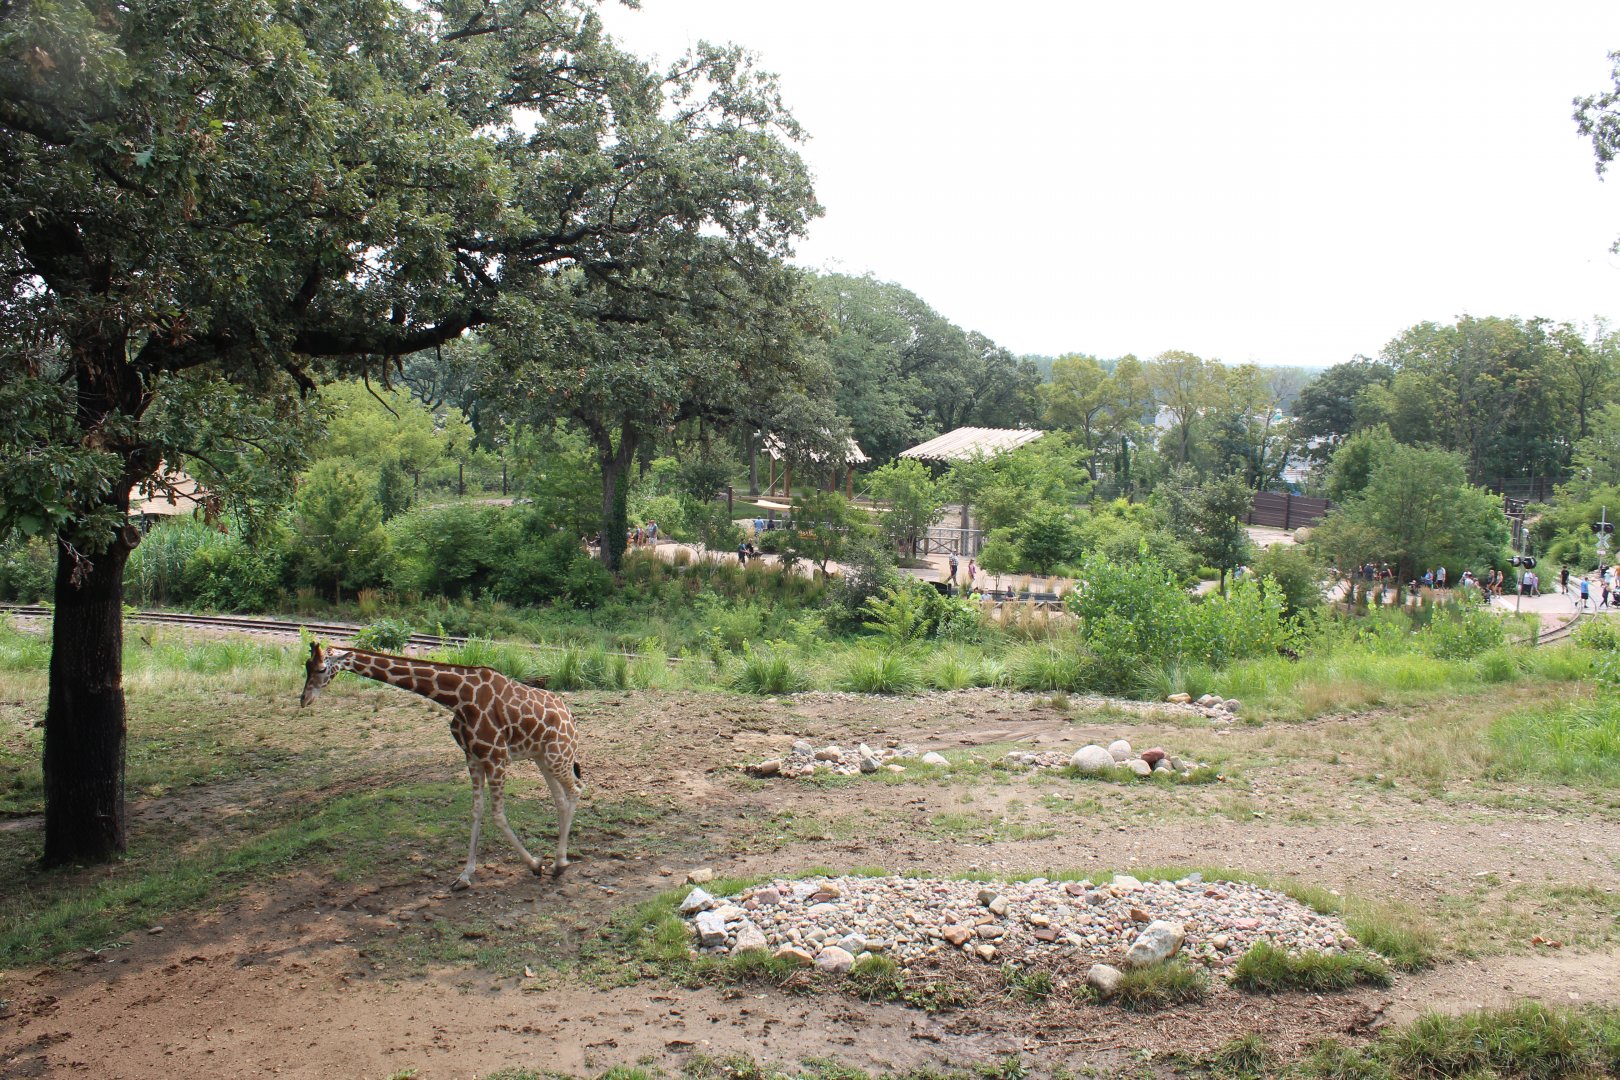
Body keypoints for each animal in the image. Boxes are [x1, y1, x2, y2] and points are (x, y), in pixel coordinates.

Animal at [299, 642, 582, 890]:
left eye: (322, 669)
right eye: (306, 666)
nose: (304, 699)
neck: (458, 697)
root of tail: (570, 716)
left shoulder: (496, 757)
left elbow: (498, 815)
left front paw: (535, 865)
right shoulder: (473, 758)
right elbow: (476, 811)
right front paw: (465, 876)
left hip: (558, 755)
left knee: (576, 790)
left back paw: (560, 864)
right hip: (542, 757)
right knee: (561, 798)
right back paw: (559, 861)